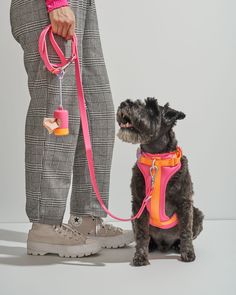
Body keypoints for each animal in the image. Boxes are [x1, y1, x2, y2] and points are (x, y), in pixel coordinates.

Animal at [116, 98, 205, 268]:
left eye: (151, 108)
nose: (124, 103)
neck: (156, 159)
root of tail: (165, 244)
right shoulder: (139, 204)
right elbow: (142, 234)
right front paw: (140, 256)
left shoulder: (185, 202)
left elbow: (186, 231)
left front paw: (188, 253)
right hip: (133, 217)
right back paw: (151, 246)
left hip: (197, 213)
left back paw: (177, 245)